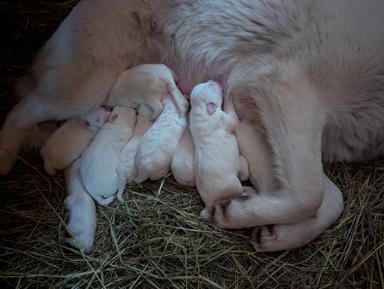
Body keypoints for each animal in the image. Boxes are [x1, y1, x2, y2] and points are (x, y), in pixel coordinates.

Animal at [189, 80, 246, 217]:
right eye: (211, 87)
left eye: (207, 83)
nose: (215, 81)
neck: (199, 110)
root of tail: (208, 203)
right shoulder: (226, 118)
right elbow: (233, 115)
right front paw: (230, 96)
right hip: (234, 185)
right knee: (236, 194)